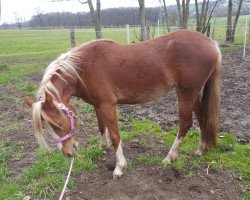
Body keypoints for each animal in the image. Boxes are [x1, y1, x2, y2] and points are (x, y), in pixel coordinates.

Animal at [25, 29, 221, 178]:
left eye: (58, 124)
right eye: (46, 127)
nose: (67, 153)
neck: (83, 68)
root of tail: (212, 44)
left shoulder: (107, 105)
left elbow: (115, 136)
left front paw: (120, 167)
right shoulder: (98, 105)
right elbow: (101, 126)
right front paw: (102, 146)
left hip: (186, 93)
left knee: (185, 124)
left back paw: (169, 157)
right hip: (194, 94)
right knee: (202, 118)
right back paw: (200, 149)